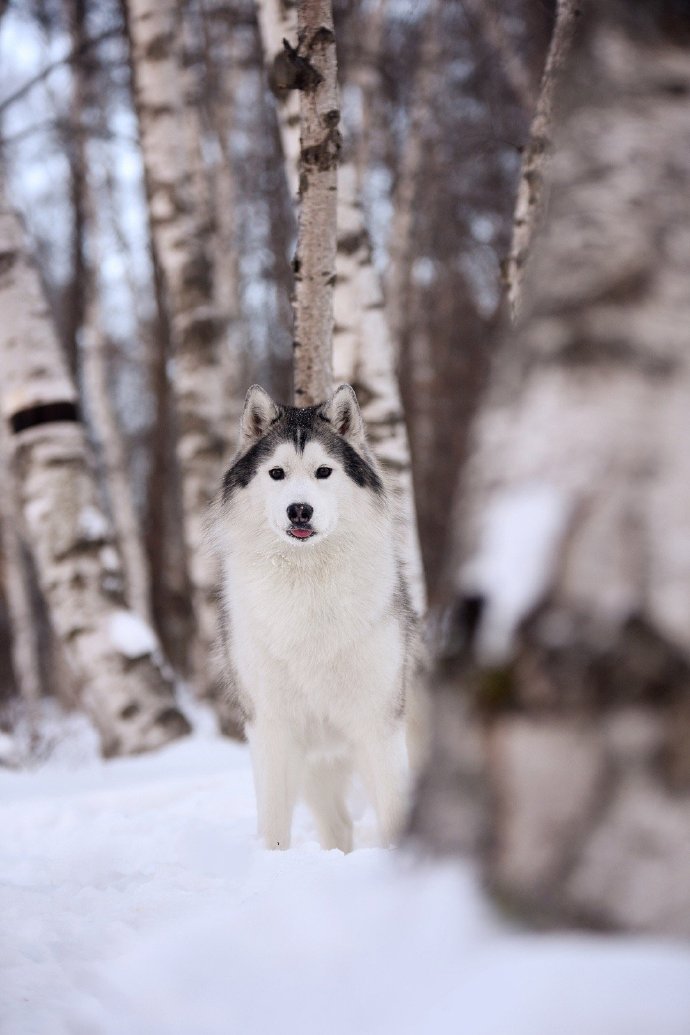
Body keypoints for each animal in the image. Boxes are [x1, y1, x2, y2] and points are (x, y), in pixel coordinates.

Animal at [216, 385, 422, 852]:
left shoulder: (379, 721)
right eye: (276, 473)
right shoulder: (271, 727)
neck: (307, 576)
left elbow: (394, 811)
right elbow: (274, 826)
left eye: (323, 472)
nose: (299, 510)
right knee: (338, 828)